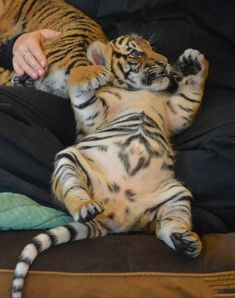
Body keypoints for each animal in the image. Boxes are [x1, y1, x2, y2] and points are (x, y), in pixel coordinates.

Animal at [11, 44, 208, 298]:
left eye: (153, 49)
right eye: (136, 53)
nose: (165, 62)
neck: (140, 90)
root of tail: (113, 219)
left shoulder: (175, 114)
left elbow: (189, 95)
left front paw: (194, 63)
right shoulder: (94, 118)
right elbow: (81, 89)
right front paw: (92, 72)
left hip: (177, 194)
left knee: (165, 226)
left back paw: (187, 242)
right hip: (70, 159)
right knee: (73, 190)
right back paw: (85, 206)